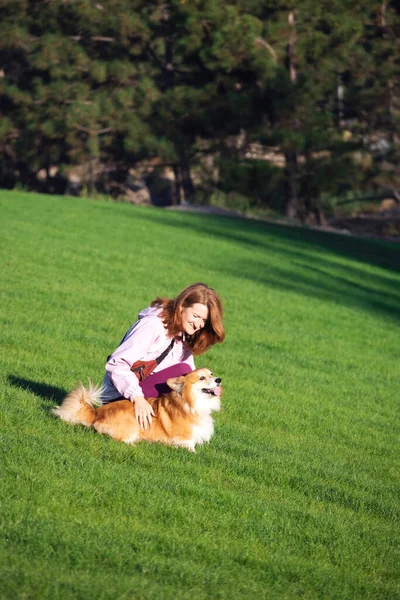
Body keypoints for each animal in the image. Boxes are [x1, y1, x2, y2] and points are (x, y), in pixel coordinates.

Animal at [52, 368, 222, 452]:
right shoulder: (183, 441)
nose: (219, 379)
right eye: (202, 378)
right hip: (133, 424)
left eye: (211, 374)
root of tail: (96, 413)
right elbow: (193, 450)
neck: (192, 403)